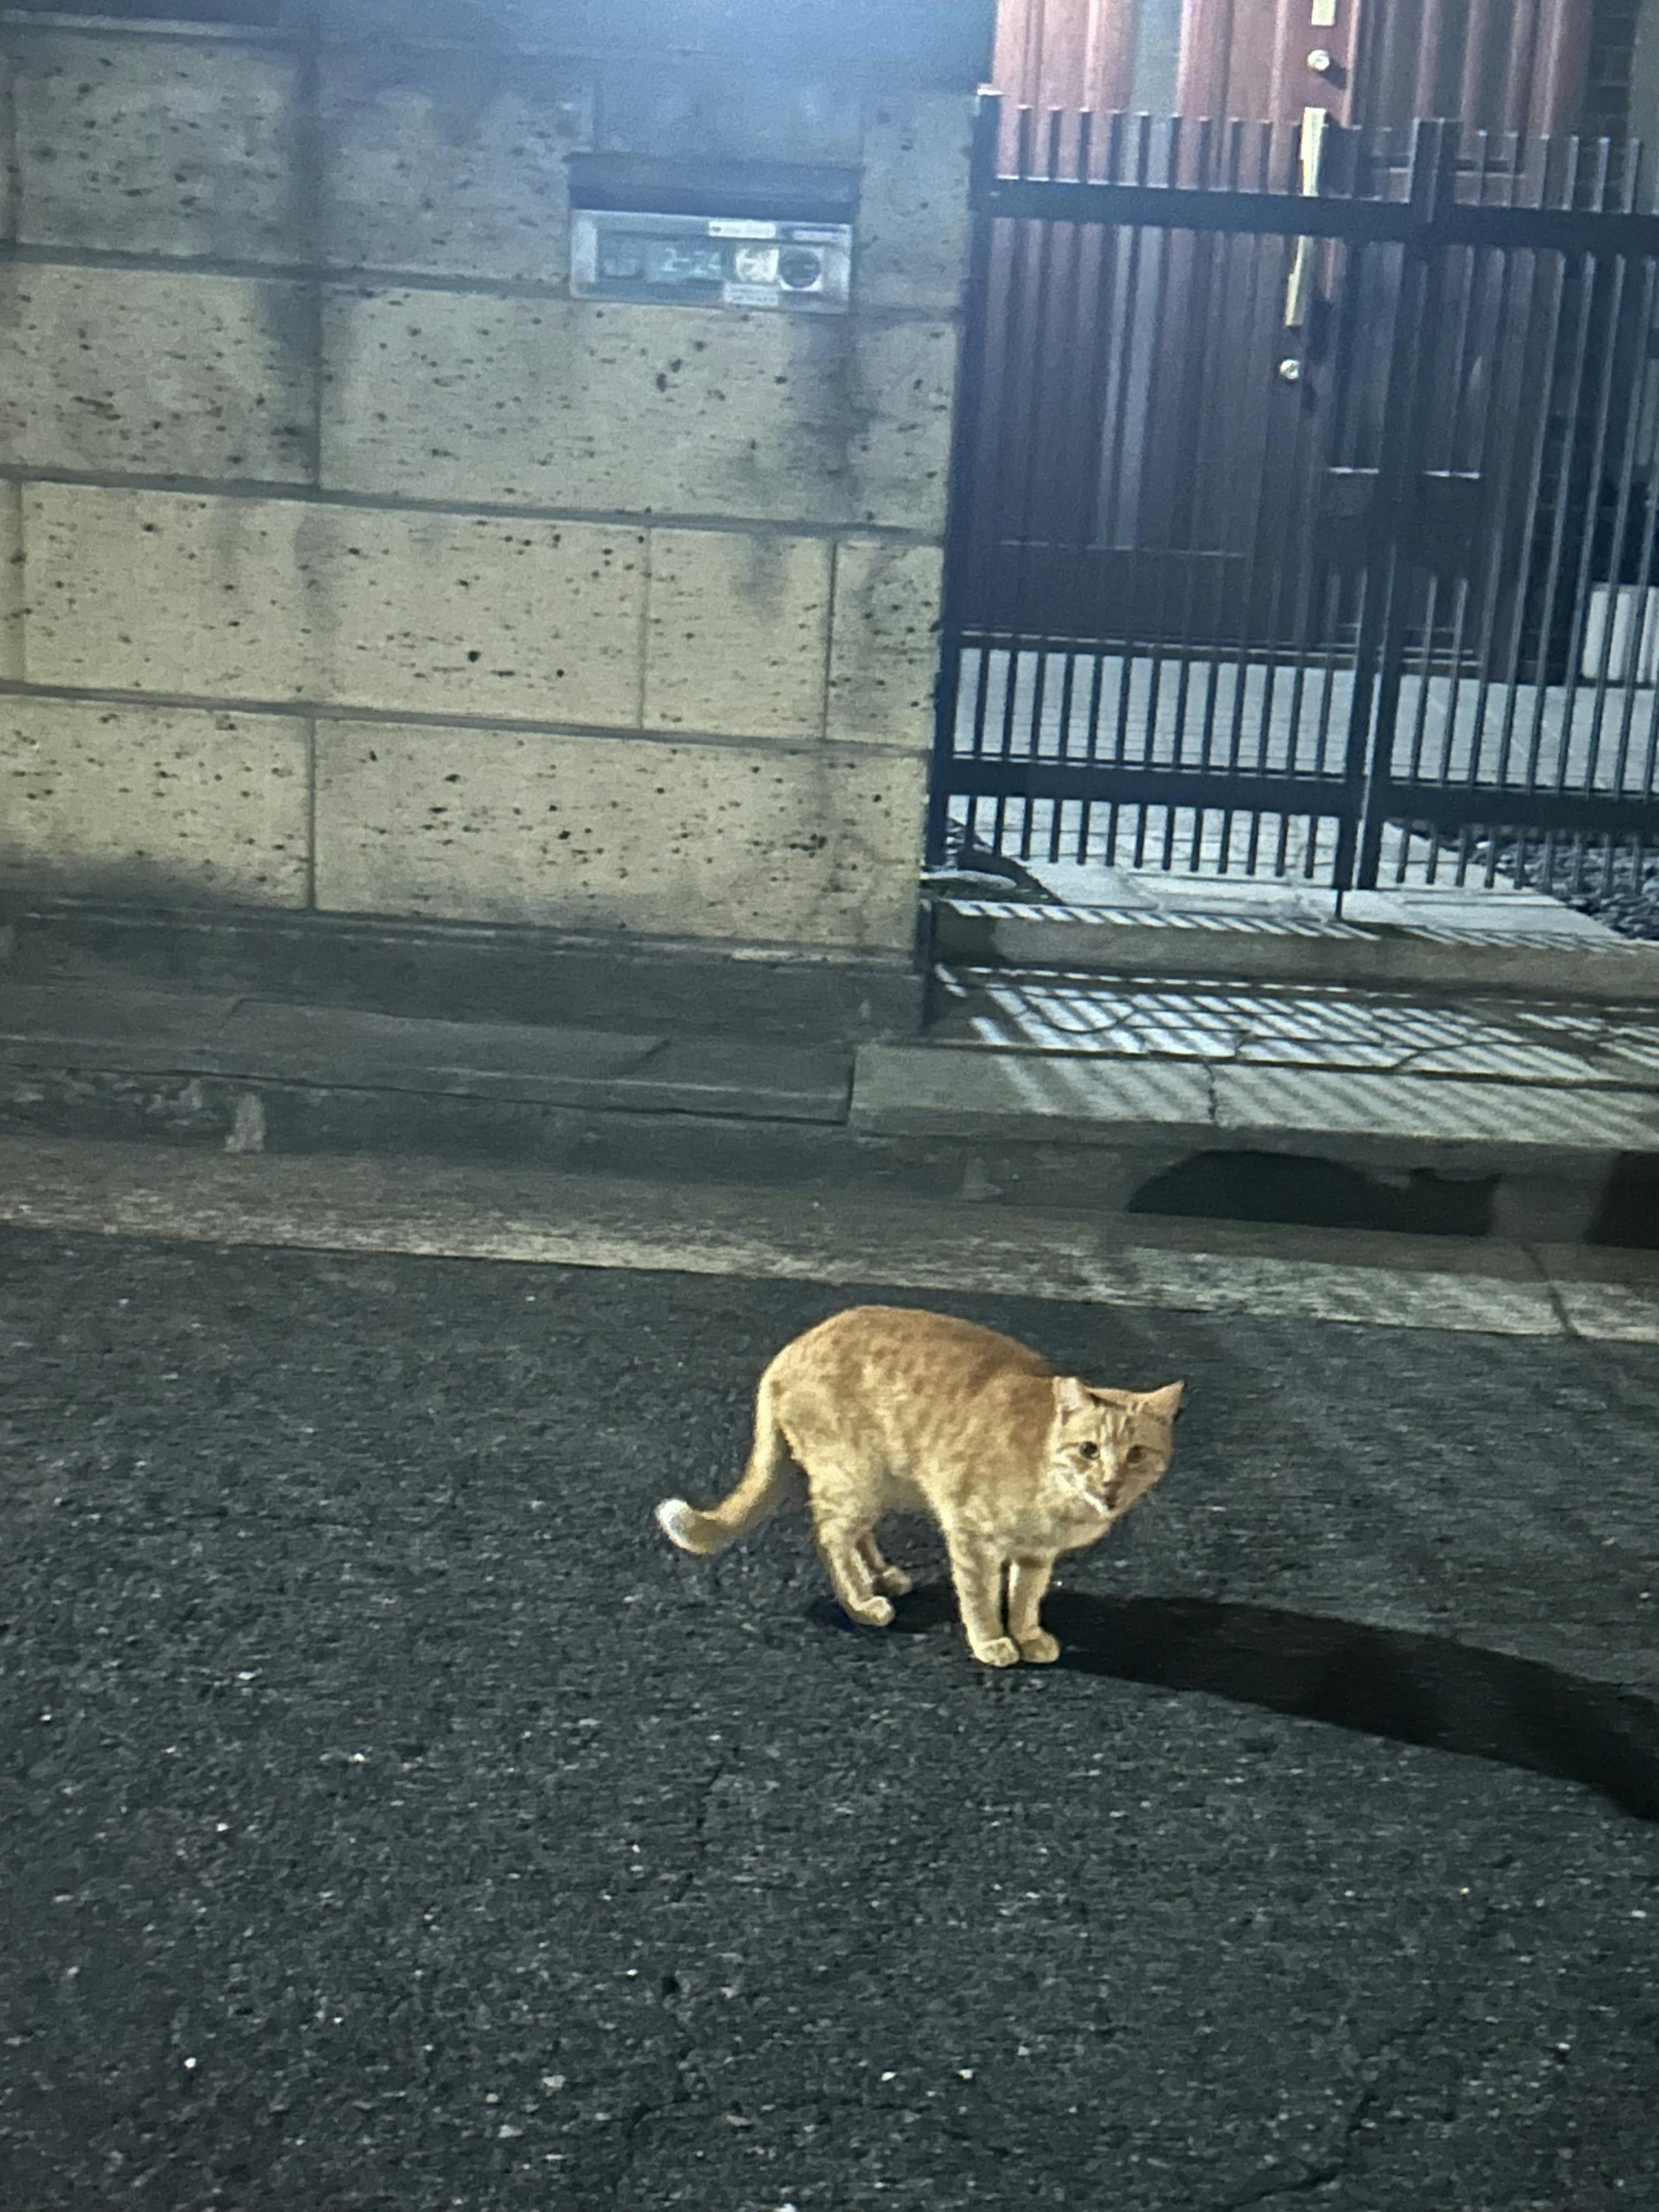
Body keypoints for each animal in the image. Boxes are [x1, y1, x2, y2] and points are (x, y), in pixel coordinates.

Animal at [655, 1305, 1184, 1667]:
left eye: (1137, 1454)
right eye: (1089, 1450)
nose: (1112, 1482)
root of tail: (791, 1350)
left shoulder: (1036, 1554)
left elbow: (1025, 1597)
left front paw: (1027, 1634)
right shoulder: (972, 1536)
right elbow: (980, 1597)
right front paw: (992, 1640)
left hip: (875, 1486)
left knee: (857, 1534)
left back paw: (881, 1575)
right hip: (853, 1479)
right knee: (831, 1537)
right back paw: (861, 1602)